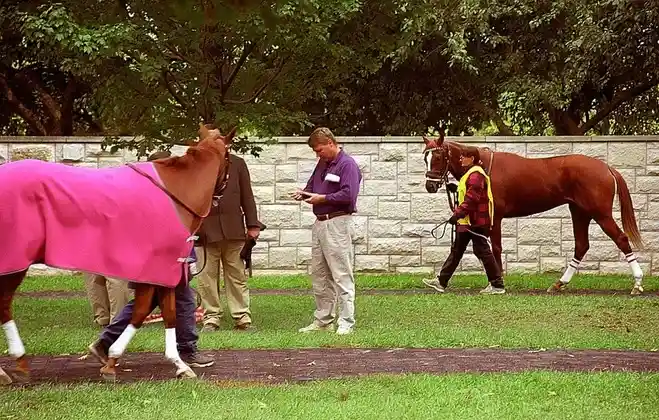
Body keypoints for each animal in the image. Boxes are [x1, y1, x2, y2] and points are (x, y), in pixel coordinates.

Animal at [0, 123, 234, 384]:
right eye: (229, 156)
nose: (220, 194)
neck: (175, 191)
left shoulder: (161, 273)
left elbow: (165, 313)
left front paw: (177, 364)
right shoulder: (159, 268)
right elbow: (143, 313)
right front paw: (114, 361)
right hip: (14, 261)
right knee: (4, 305)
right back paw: (15, 363)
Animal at [422, 131, 644, 295]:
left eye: (438, 156)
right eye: (425, 157)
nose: (430, 186)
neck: (483, 167)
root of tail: (607, 168)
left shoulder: (496, 217)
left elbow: (495, 249)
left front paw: (497, 283)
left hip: (600, 214)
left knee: (621, 239)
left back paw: (637, 283)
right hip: (580, 212)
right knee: (581, 245)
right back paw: (559, 283)